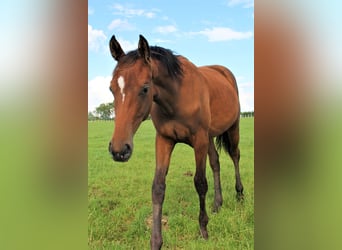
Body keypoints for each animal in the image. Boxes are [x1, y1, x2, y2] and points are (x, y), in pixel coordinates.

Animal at [107, 34, 243, 249]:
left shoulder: (199, 140)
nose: (119, 150)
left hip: (232, 128)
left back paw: (239, 194)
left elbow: (200, 183)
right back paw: (217, 204)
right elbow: (158, 187)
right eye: (111, 88)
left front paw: (203, 229)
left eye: (145, 88)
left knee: (235, 156)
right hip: (210, 137)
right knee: (215, 163)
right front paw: (156, 241)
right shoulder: (164, 140)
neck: (176, 98)